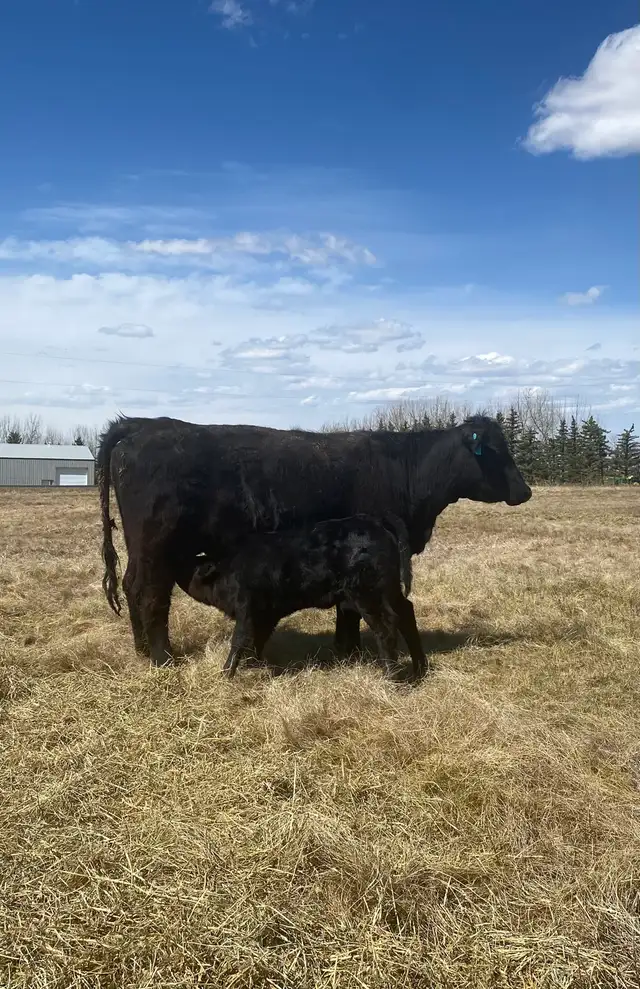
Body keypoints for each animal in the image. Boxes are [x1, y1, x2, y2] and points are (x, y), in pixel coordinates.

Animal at [187, 514, 427, 681]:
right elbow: (257, 639)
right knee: (406, 613)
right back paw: (420, 670)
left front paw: (226, 674)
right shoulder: (266, 614)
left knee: (386, 627)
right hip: (389, 591)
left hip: (368, 595)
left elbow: (239, 640)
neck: (232, 567)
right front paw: (252, 665)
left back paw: (391, 678)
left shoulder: (247, 609)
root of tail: (374, 521)